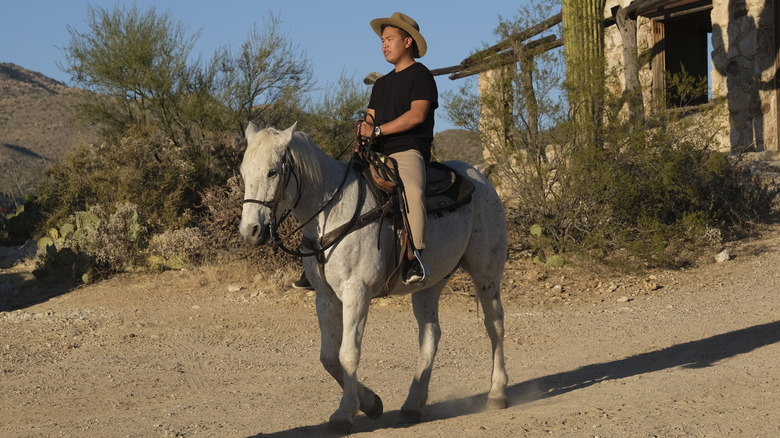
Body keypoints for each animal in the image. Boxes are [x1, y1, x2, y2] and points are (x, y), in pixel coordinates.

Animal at [238, 121, 506, 432]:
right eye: (244, 172)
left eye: (272, 171)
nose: (251, 231)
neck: (332, 211)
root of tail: (480, 176)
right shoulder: (326, 298)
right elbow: (329, 357)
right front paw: (371, 403)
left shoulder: (357, 293)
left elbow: (348, 353)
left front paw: (345, 413)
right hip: (429, 285)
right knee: (430, 335)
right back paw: (413, 404)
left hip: (487, 274)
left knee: (494, 326)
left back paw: (497, 392)